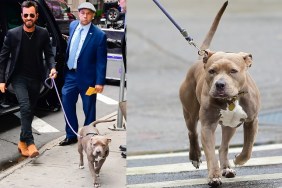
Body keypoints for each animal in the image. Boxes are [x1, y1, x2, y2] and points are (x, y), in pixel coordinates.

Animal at [180, 1, 262, 187]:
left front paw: (238, 160)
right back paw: (195, 156)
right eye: (212, 71)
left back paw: (227, 168)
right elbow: (210, 153)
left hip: (230, 125)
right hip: (190, 113)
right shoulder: (207, 126)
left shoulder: (251, 121)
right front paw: (214, 176)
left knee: (223, 147)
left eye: (233, 71)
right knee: (192, 132)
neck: (231, 99)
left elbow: (248, 148)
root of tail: (201, 57)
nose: (220, 84)